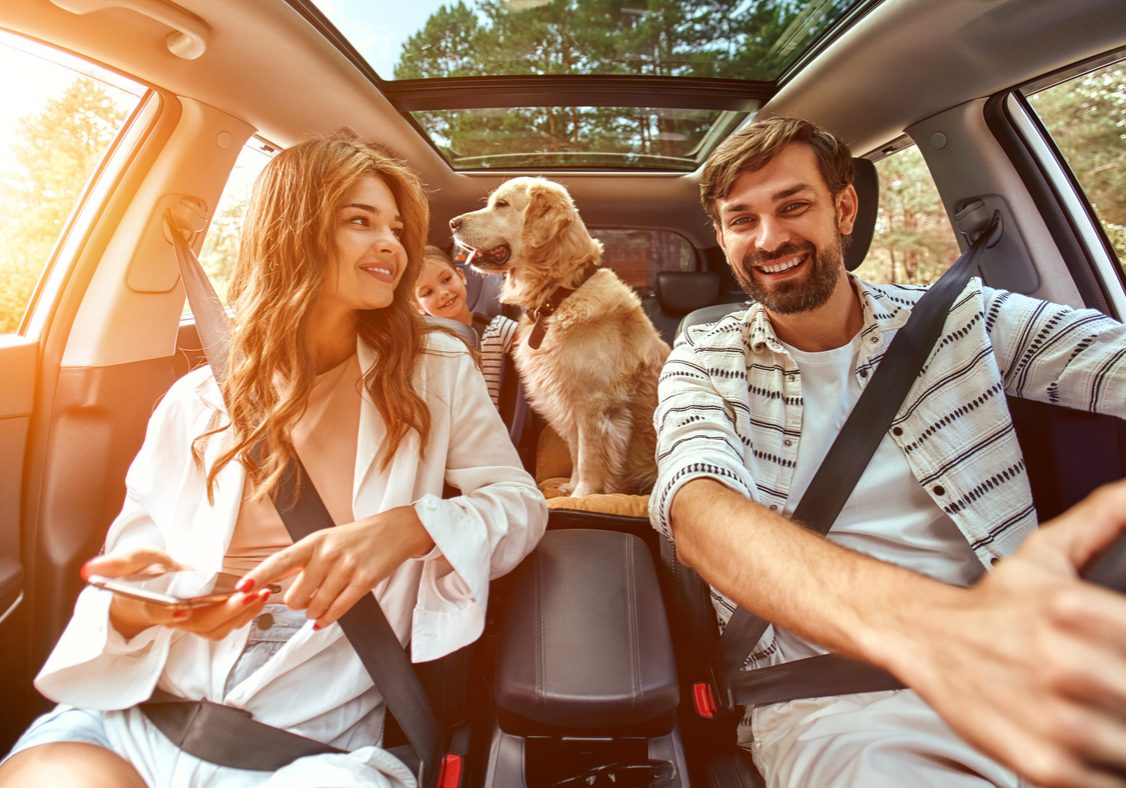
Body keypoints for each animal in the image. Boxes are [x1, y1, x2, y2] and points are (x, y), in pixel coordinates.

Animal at [448, 180, 666, 497]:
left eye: (502, 205)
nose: (452, 223)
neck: (560, 295)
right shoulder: (564, 398)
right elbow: (575, 450)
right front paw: (570, 485)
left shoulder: (592, 403)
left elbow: (589, 457)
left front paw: (583, 495)